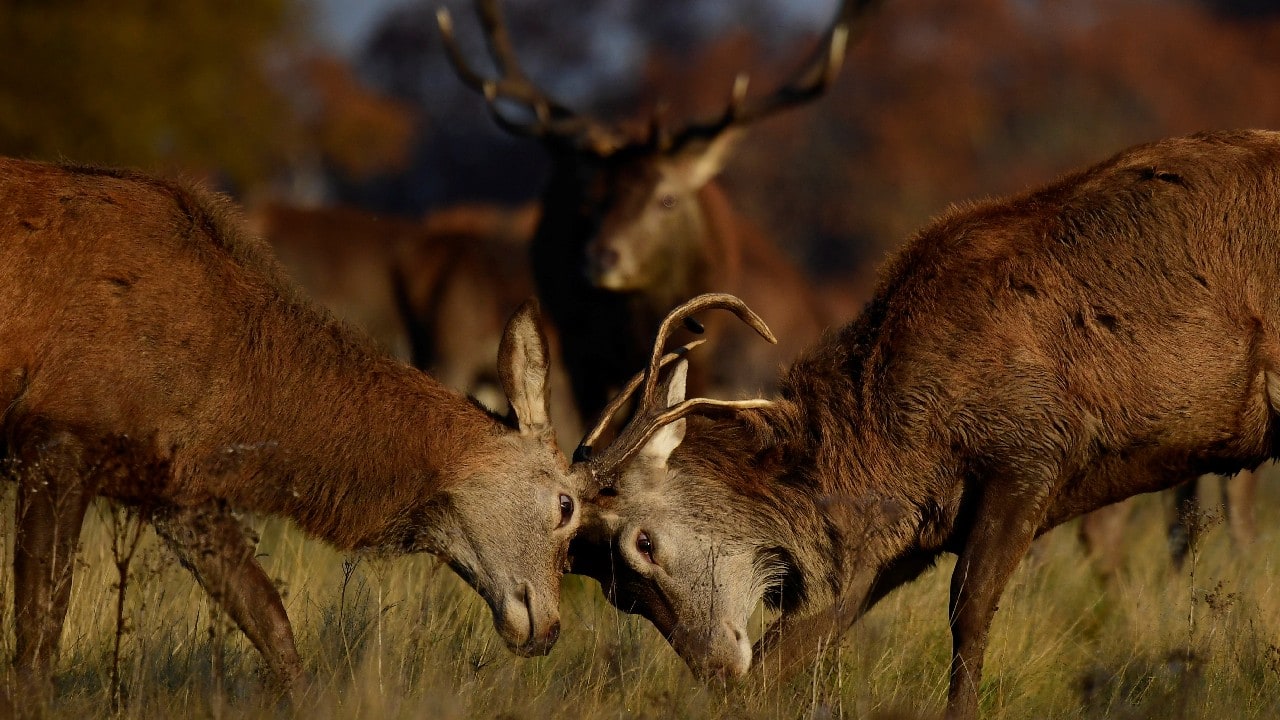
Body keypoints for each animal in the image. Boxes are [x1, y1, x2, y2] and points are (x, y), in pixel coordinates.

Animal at [0, 158, 582, 701]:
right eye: (567, 505)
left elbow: (270, 617)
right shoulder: (56, 437)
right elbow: (39, 632)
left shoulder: (174, 488)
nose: (552, 630)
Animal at [568, 130, 1280, 720]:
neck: (901, 449)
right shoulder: (902, 537)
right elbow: (798, 648)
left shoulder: (1031, 450)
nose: (715, 672)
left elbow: (969, 610)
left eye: (643, 544)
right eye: (614, 594)